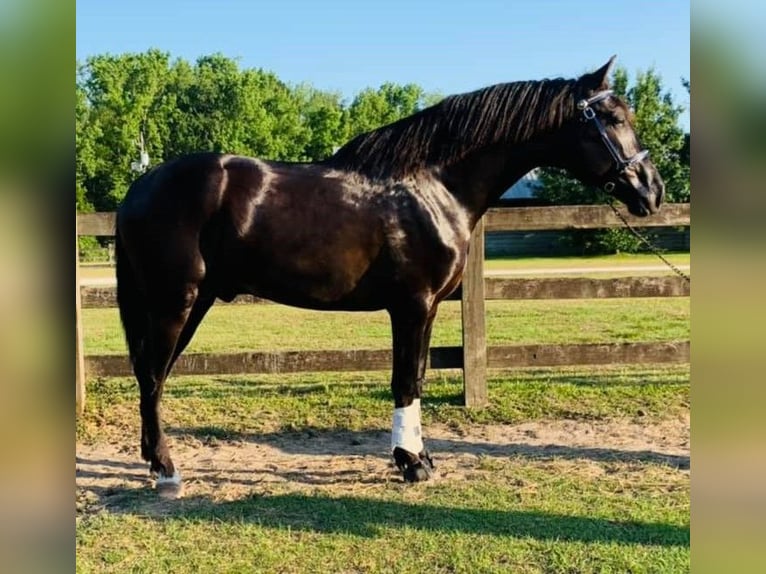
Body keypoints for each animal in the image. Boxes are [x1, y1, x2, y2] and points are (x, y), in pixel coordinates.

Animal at [115, 56, 664, 497]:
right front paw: (411, 464)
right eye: (613, 118)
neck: (434, 185)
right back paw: (166, 470)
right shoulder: (412, 305)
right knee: (151, 375)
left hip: (193, 302)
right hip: (176, 302)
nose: (652, 190)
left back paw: (155, 463)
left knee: (153, 377)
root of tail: (141, 187)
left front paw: (420, 457)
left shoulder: (427, 308)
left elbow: (416, 376)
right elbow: (404, 380)